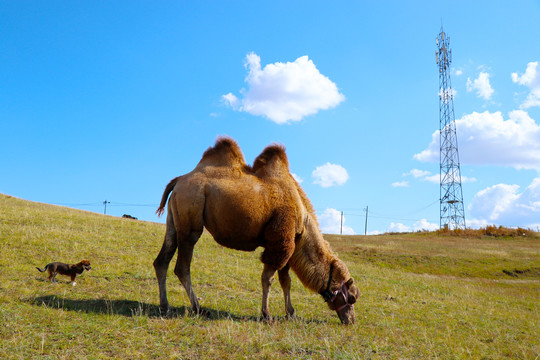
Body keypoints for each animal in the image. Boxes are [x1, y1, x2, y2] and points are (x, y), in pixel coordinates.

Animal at [154, 137, 360, 324]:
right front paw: (267, 315)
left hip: (174, 222)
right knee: (182, 267)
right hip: (190, 219)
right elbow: (268, 279)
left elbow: (286, 281)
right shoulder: (280, 241)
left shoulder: (287, 244)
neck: (303, 221)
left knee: (161, 261)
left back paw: (165, 306)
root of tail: (179, 181)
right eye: (352, 297)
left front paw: (291, 313)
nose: (351, 320)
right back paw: (198, 308)